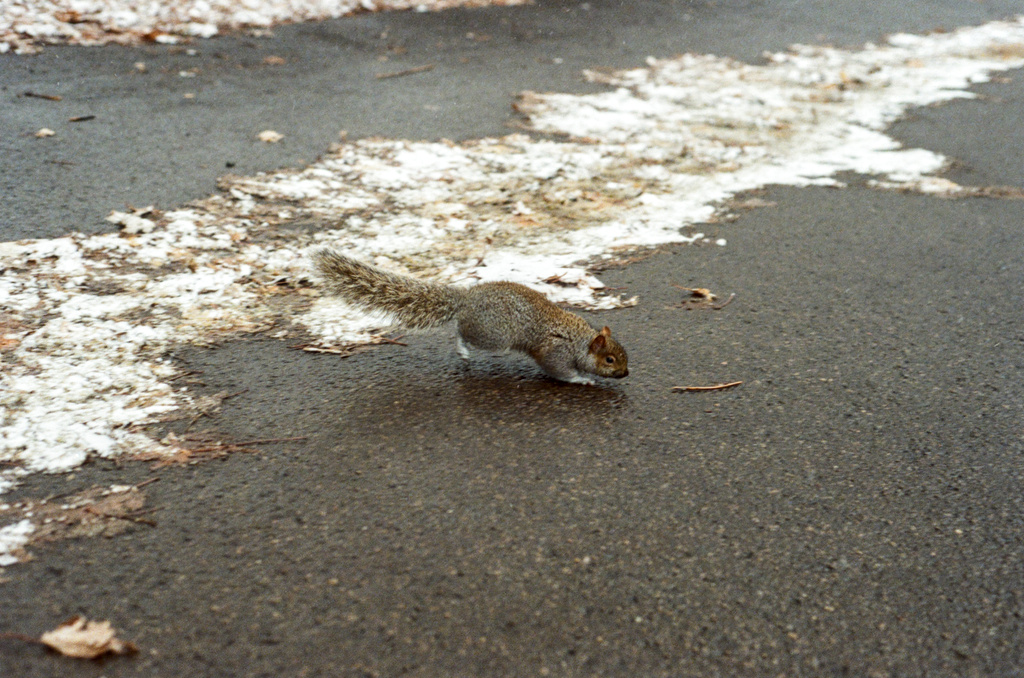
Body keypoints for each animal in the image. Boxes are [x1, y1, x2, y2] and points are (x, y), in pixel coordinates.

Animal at [311, 248, 629, 384]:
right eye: (609, 360)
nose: (625, 374)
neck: (580, 342)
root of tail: (466, 299)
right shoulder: (555, 352)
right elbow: (559, 370)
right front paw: (582, 379)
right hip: (493, 335)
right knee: (460, 331)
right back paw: (462, 350)